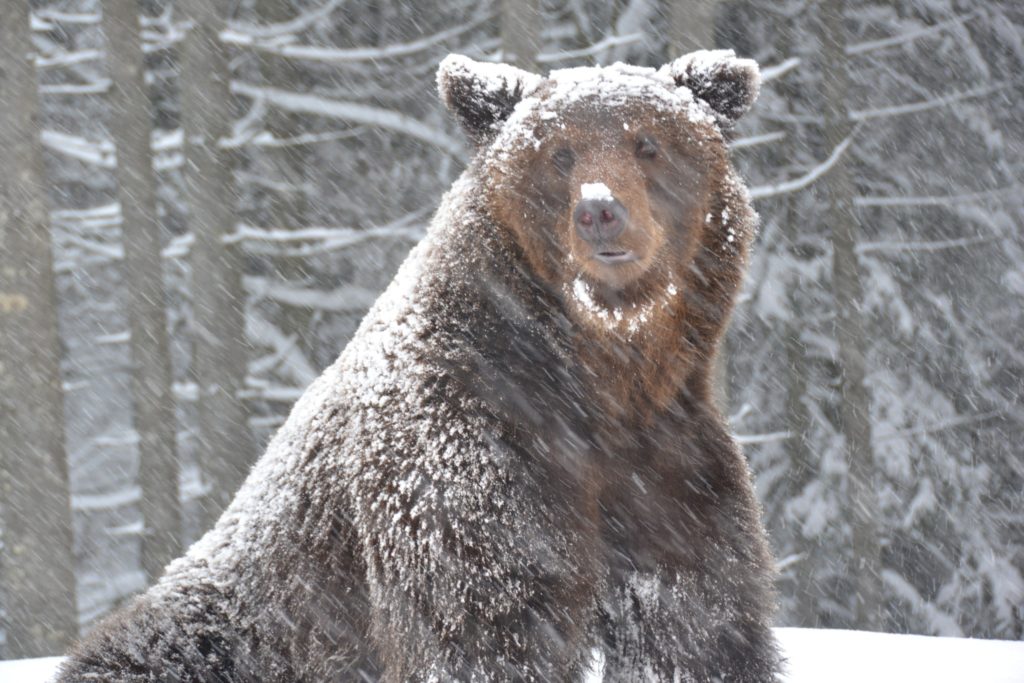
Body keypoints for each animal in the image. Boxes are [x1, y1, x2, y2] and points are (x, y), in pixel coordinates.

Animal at [58, 52, 774, 683]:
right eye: (558, 153)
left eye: (648, 143)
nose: (599, 210)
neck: (603, 374)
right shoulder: (466, 456)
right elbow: (486, 622)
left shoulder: (668, 469)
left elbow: (694, 626)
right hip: (236, 625)